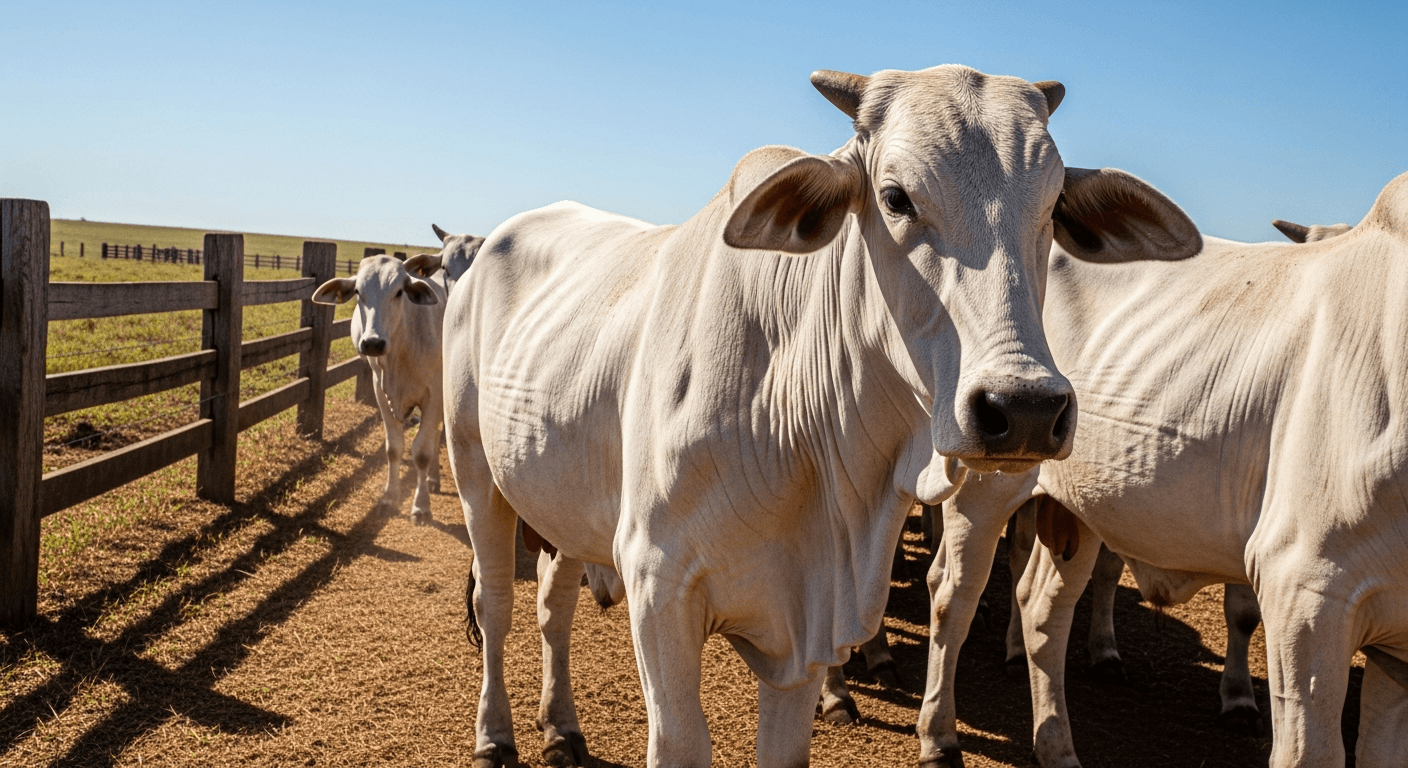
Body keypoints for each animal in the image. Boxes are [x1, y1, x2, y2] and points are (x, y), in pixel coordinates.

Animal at [312, 255, 446, 523]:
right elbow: (394, 449)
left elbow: (422, 452)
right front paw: (389, 499)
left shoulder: (434, 396)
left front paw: (421, 506)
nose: (373, 343)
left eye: (399, 292)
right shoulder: (381, 393)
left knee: (437, 435)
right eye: (358, 292)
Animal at [444, 64, 1200, 768]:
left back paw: (561, 727)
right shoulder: (658, 590)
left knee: (554, 607)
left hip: (559, 503)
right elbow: (682, 741)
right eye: (895, 197)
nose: (1025, 409)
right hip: (475, 470)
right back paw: (495, 734)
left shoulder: (806, 632)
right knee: (497, 605)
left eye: (1053, 205)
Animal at [919, 171, 1408, 767]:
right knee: (953, 596)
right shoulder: (1306, 593)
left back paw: (1056, 746)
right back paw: (939, 736)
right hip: (985, 488)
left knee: (1041, 610)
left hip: (1078, 509)